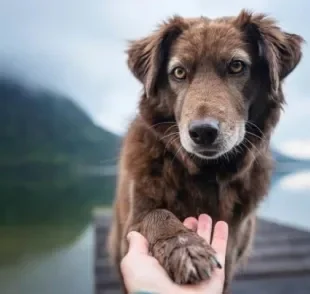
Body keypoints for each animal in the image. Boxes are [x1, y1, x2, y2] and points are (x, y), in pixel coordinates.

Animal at [106, 9, 302, 294]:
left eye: (236, 66)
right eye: (178, 72)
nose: (203, 132)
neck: (205, 174)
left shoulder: (232, 251)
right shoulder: (133, 221)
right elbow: (158, 214)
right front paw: (185, 248)